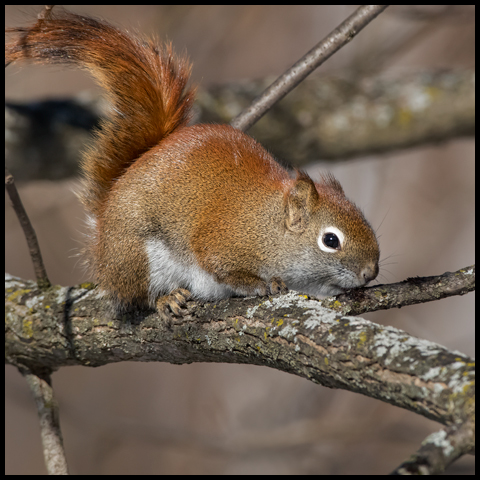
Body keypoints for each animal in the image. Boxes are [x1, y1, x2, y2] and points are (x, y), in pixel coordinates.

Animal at [4, 11, 378, 316]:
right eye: (331, 240)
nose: (370, 272)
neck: (268, 224)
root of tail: (103, 235)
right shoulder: (222, 243)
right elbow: (224, 268)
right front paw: (261, 283)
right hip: (138, 256)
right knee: (137, 296)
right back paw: (165, 299)